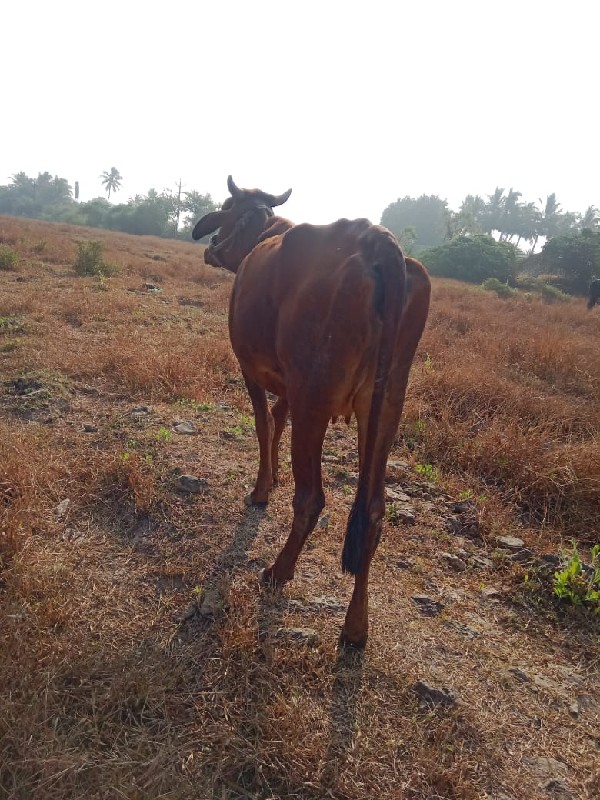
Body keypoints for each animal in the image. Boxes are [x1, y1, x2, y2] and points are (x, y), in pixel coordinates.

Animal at [193, 175, 432, 644]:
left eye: (227, 208)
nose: (210, 245)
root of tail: (377, 241)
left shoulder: (251, 368)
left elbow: (263, 423)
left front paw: (262, 489)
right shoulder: (289, 385)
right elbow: (277, 419)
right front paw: (272, 475)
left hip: (315, 397)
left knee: (312, 498)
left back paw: (278, 571)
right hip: (386, 403)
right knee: (373, 511)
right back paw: (356, 626)